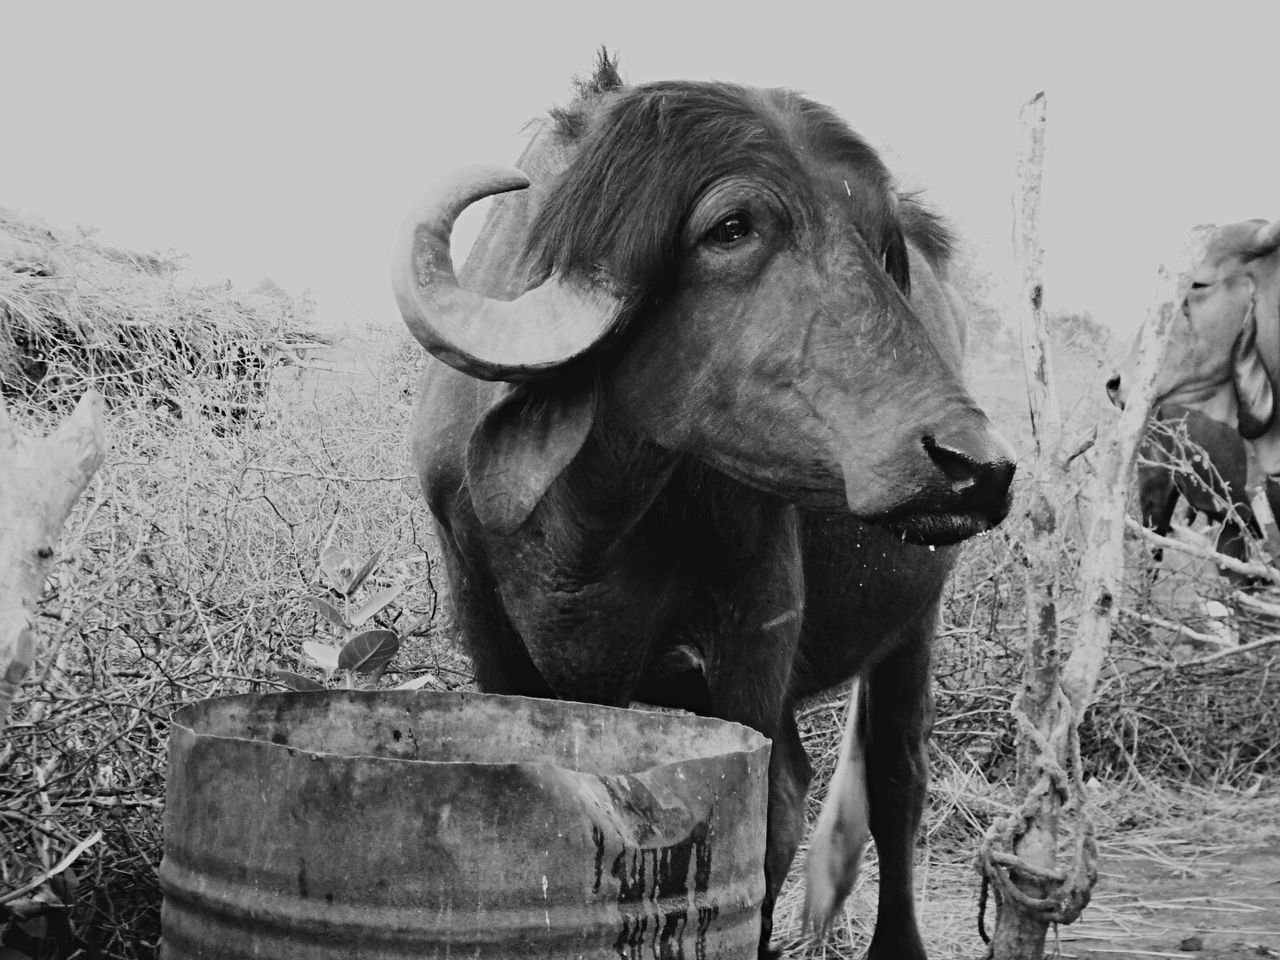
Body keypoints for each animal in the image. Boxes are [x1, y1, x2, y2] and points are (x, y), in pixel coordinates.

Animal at [394, 60, 1013, 960]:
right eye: (731, 227)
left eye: (879, 241)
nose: (978, 468)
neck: (590, 522)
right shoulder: (484, 625)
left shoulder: (752, 633)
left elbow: (763, 828)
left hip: (913, 622)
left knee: (892, 782)